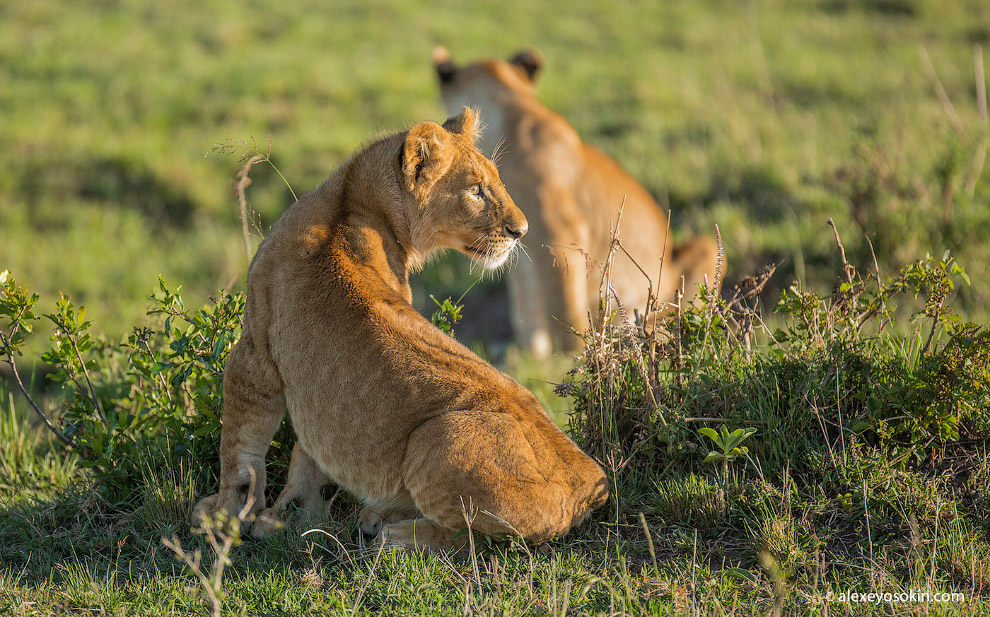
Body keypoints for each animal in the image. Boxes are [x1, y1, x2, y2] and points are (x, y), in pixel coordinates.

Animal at [192, 108, 612, 548]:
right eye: (476, 189)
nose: (522, 231)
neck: (351, 202)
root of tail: (590, 481)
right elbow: (307, 462)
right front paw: (289, 519)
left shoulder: (254, 351)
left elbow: (240, 448)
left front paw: (224, 517)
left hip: (438, 438)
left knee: (474, 540)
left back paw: (389, 532)